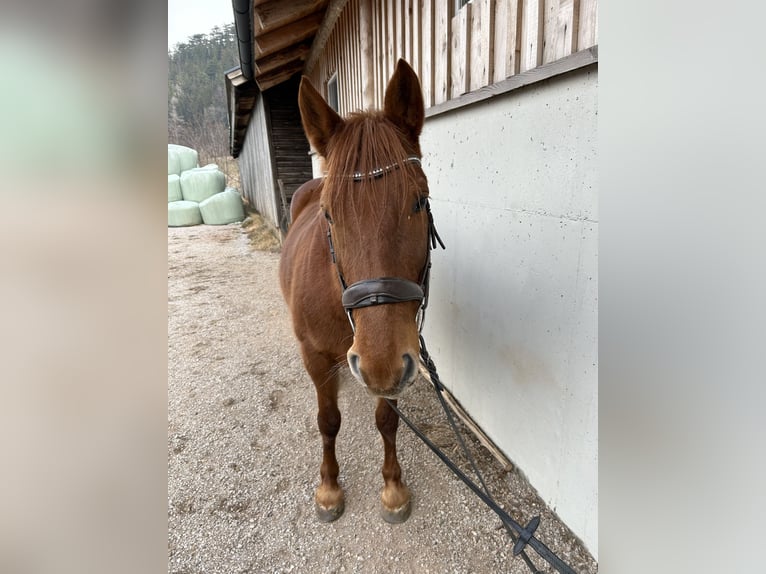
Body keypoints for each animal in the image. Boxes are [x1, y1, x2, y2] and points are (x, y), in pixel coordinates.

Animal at [282, 62, 436, 528]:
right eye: (329, 214)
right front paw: (329, 488)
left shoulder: (397, 360)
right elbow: (328, 420)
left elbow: (387, 419)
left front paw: (393, 488)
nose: (378, 363)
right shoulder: (316, 356)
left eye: (419, 201)